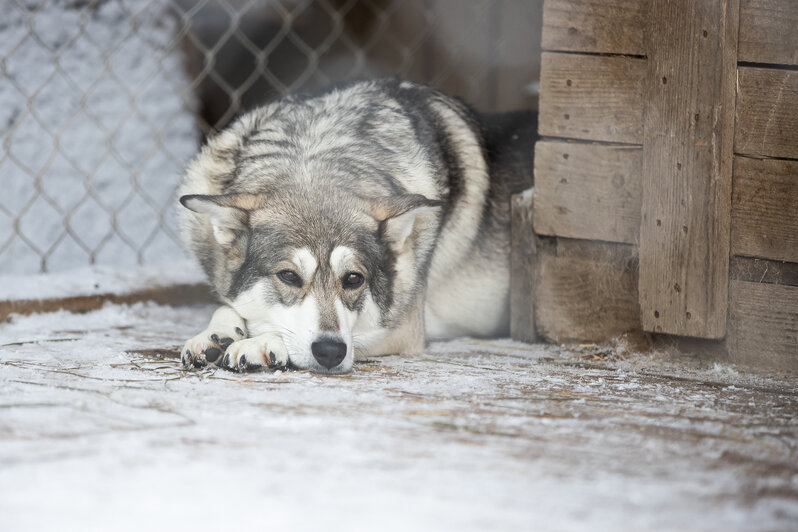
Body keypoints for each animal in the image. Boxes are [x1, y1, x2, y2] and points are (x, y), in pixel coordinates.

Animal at [178, 79, 536, 374]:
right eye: (289, 277)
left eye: (353, 279)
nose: (330, 351)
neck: (314, 148)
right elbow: (227, 306)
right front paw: (215, 335)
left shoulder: (402, 331)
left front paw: (261, 342)